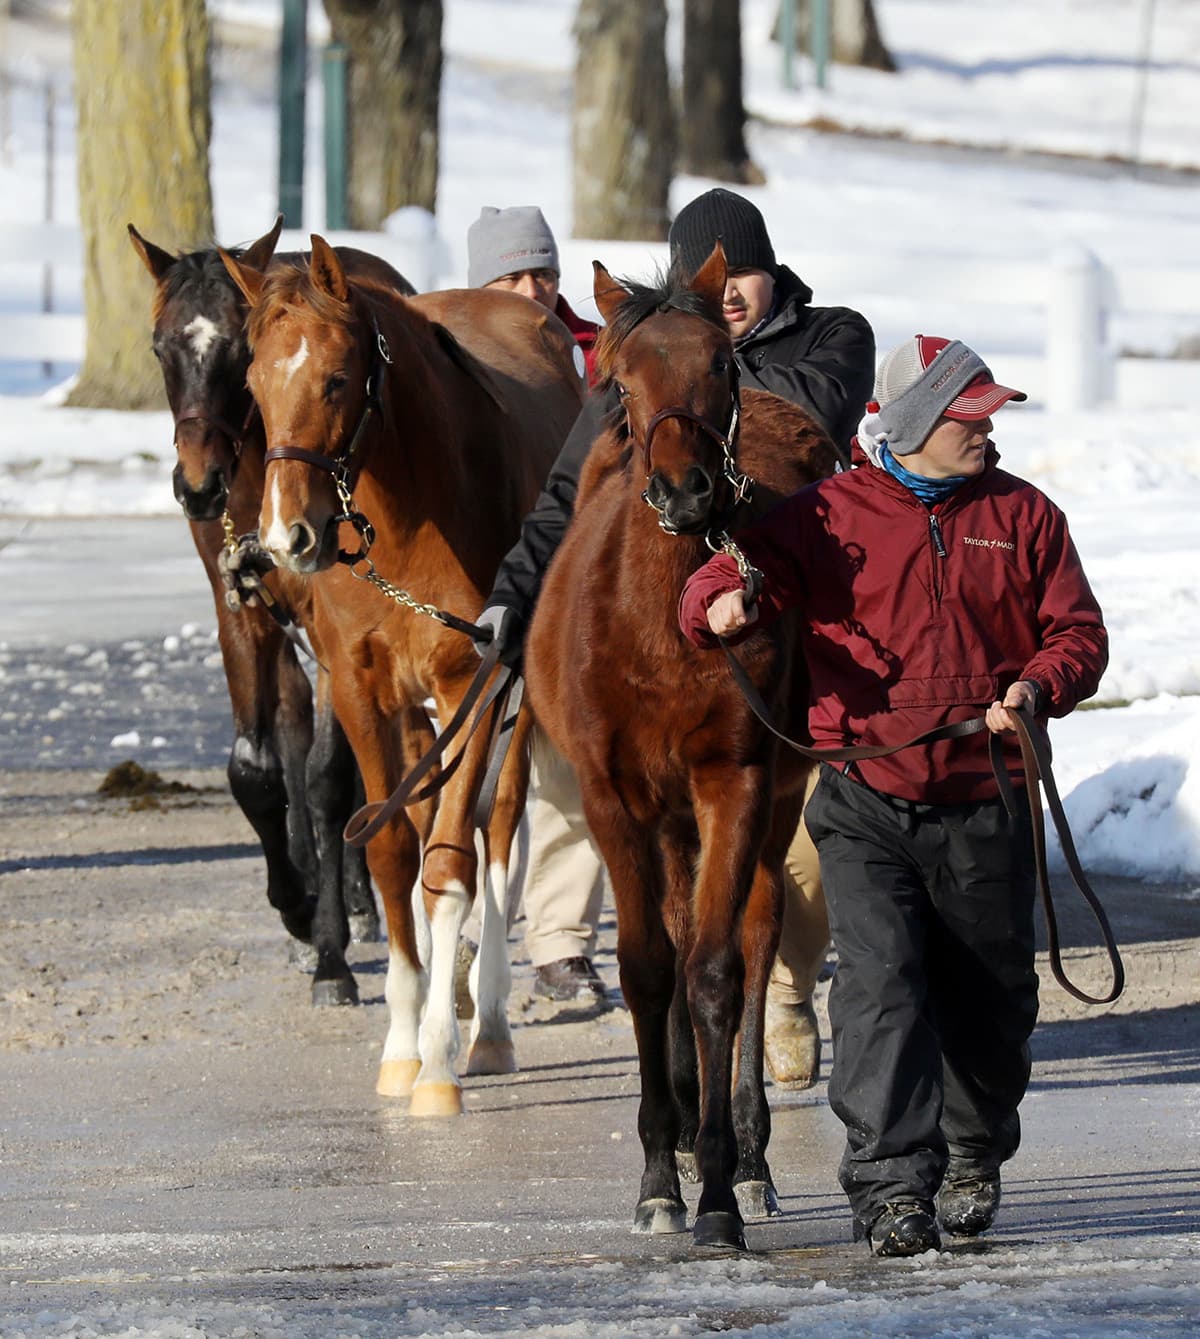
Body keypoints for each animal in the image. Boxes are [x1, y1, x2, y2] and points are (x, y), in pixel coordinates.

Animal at [129, 216, 431, 1008]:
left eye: (239, 350)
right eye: (161, 347)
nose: (197, 484)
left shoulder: (335, 624)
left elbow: (329, 776)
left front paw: (328, 947)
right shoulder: (239, 608)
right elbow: (257, 772)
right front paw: (297, 904)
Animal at [219, 236, 585, 1114]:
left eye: (336, 378)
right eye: (255, 385)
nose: (287, 536)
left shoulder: (473, 684)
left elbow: (452, 861)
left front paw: (441, 1062)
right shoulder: (362, 692)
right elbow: (391, 854)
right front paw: (402, 1040)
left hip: (509, 704)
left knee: (498, 831)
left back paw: (487, 1022)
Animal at [524, 245, 839, 1250]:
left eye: (723, 367)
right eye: (621, 381)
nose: (684, 489)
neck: (661, 626)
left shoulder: (732, 779)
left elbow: (712, 969)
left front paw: (720, 1189)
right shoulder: (613, 797)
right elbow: (648, 968)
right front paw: (662, 1174)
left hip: (775, 793)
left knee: (755, 931)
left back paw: (746, 1153)